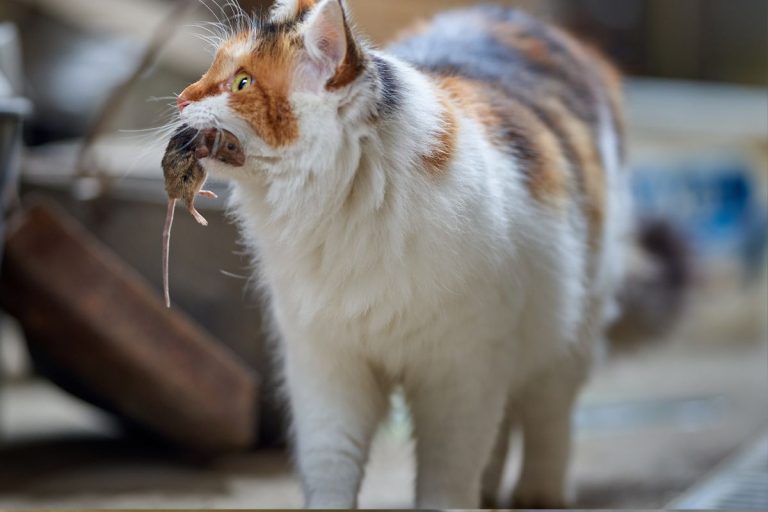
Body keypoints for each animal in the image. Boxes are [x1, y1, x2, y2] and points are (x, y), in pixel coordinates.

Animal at [177, 0, 632, 508]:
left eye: (241, 83)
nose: (181, 99)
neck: (343, 211)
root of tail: (523, 19)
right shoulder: (328, 365)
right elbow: (331, 461)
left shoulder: (461, 370)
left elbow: (446, 474)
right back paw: (489, 493)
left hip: (569, 327)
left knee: (548, 418)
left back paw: (539, 493)